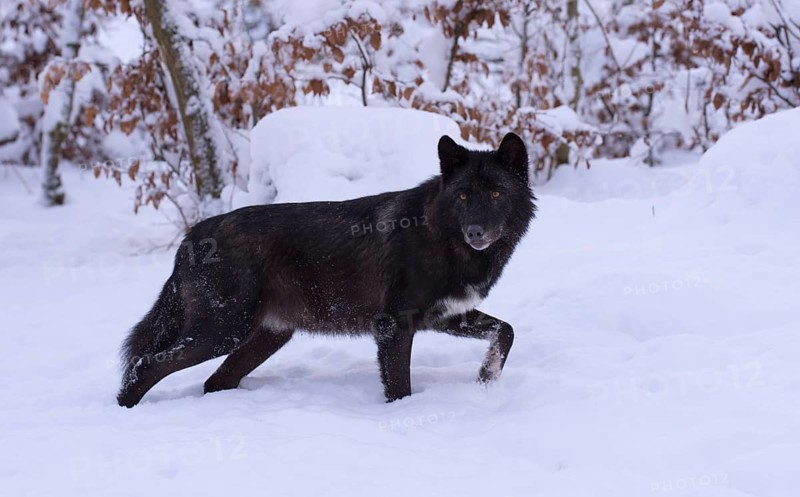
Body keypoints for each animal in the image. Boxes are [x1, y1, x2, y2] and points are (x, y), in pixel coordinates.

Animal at [117, 132, 535, 407]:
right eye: (463, 195)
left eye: (496, 193)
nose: (475, 232)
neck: (442, 238)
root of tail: (193, 235)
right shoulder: (393, 326)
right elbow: (399, 388)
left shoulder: (446, 316)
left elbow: (507, 331)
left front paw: (486, 379)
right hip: (223, 332)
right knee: (145, 364)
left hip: (263, 338)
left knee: (214, 381)